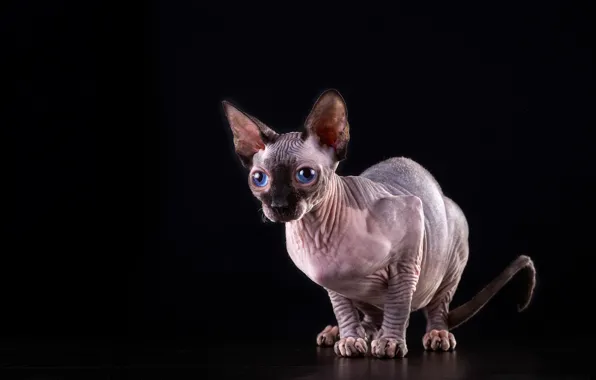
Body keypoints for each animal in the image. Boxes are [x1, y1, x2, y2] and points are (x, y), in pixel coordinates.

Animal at [221, 90, 536, 360]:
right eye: (259, 179)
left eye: (305, 175)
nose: (278, 206)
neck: (317, 233)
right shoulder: (332, 282)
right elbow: (344, 310)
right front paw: (350, 337)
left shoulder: (408, 246)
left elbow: (398, 303)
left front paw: (390, 342)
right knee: (372, 314)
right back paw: (342, 333)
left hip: (452, 256)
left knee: (434, 306)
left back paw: (434, 333)